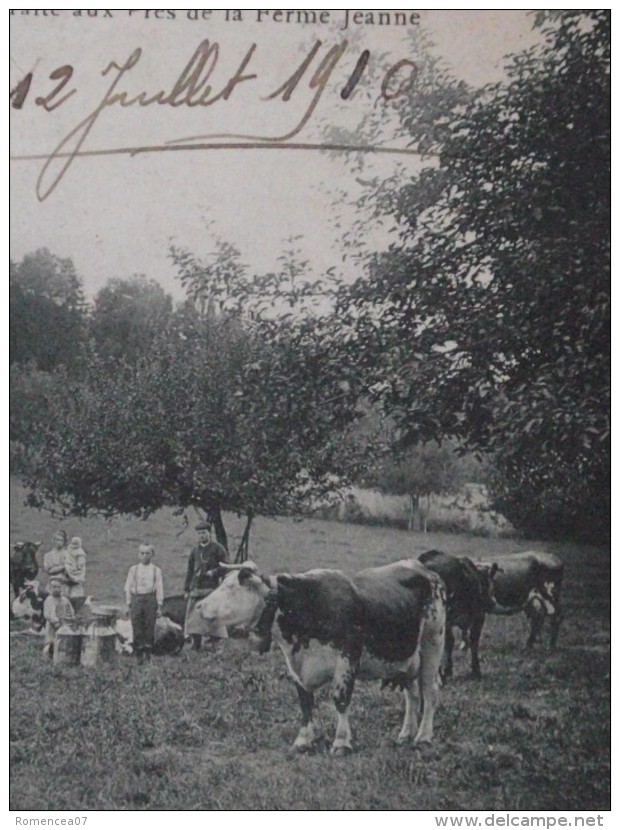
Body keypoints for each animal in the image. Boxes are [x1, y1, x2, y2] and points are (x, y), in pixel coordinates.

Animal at [199, 564, 446, 756]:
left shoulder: (347, 657)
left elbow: (340, 700)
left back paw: (423, 737)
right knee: (411, 694)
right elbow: (305, 703)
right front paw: (303, 741)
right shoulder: (296, 665)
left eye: (230, 588)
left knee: (429, 690)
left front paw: (342, 743)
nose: (200, 606)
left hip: (432, 643)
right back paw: (405, 734)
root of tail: (426, 569)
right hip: (407, 658)